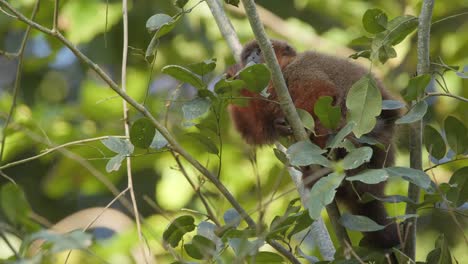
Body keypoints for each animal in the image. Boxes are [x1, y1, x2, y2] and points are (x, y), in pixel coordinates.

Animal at [225, 39, 400, 250]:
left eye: (259, 51)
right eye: (247, 55)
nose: (251, 58)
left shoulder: (301, 68)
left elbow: (321, 92)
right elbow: (256, 128)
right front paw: (232, 78)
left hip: (370, 142)